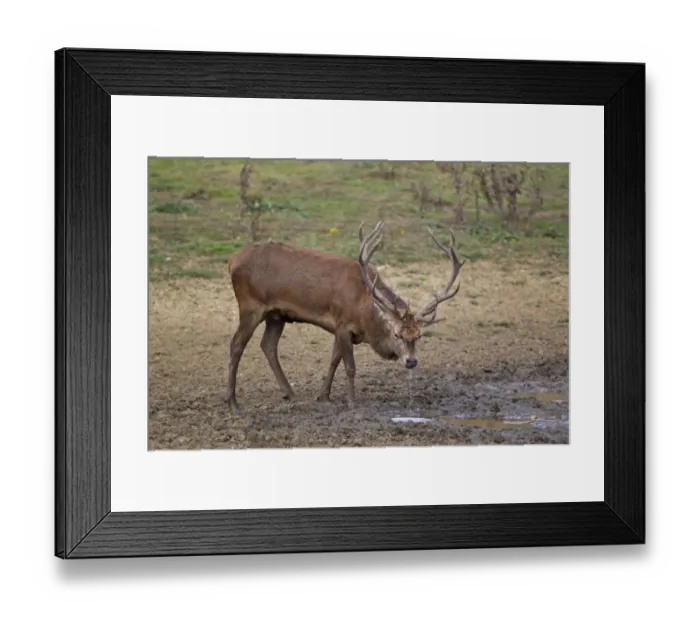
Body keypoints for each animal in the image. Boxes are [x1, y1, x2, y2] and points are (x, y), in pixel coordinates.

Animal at [224, 221, 466, 412]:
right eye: (397, 334)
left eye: (419, 335)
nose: (411, 361)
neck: (363, 308)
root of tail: (231, 260)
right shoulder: (342, 324)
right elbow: (349, 366)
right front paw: (352, 402)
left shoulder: (341, 328)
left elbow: (334, 360)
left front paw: (324, 396)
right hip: (250, 305)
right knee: (236, 344)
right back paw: (232, 402)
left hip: (276, 314)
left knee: (268, 345)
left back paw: (290, 393)